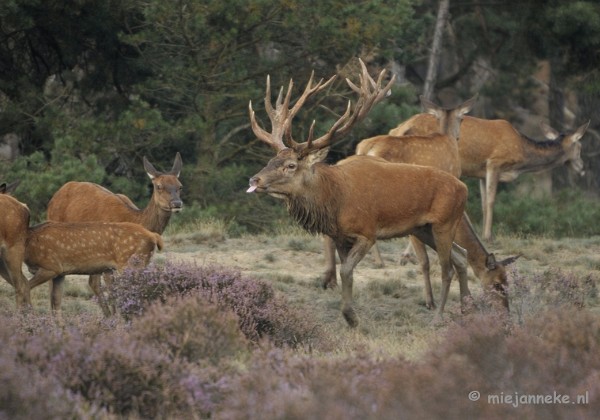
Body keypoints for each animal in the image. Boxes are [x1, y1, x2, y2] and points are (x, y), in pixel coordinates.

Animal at [25, 220, 163, 316]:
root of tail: (154, 236)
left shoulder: (51, 266)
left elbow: (26, 287)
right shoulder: (60, 273)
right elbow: (56, 301)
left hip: (131, 264)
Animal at [45, 153, 182, 316]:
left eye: (180, 186)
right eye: (158, 186)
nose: (177, 203)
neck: (134, 219)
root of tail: (54, 196)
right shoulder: (110, 260)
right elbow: (114, 289)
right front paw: (119, 316)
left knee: (91, 282)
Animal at [245, 60, 468, 328]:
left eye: (290, 165)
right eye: (271, 160)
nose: (254, 179)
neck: (336, 201)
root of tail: (464, 189)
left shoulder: (367, 232)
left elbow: (346, 271)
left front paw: (351, 317)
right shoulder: (341, 236)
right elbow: (346, 271)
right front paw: (350, 317)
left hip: (444, 222)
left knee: (447, 268)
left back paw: (438, 317)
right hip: (423, 228)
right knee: (462, 256)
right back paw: (469, 307)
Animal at [390, 113, 592, 241]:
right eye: (580, 147)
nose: (582, 168)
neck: (521, 156)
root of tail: (400, 128)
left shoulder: (481, 173)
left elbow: (483, 203)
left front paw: (483, 233)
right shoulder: (495, 162)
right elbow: (491, 200)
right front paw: (488, 236)